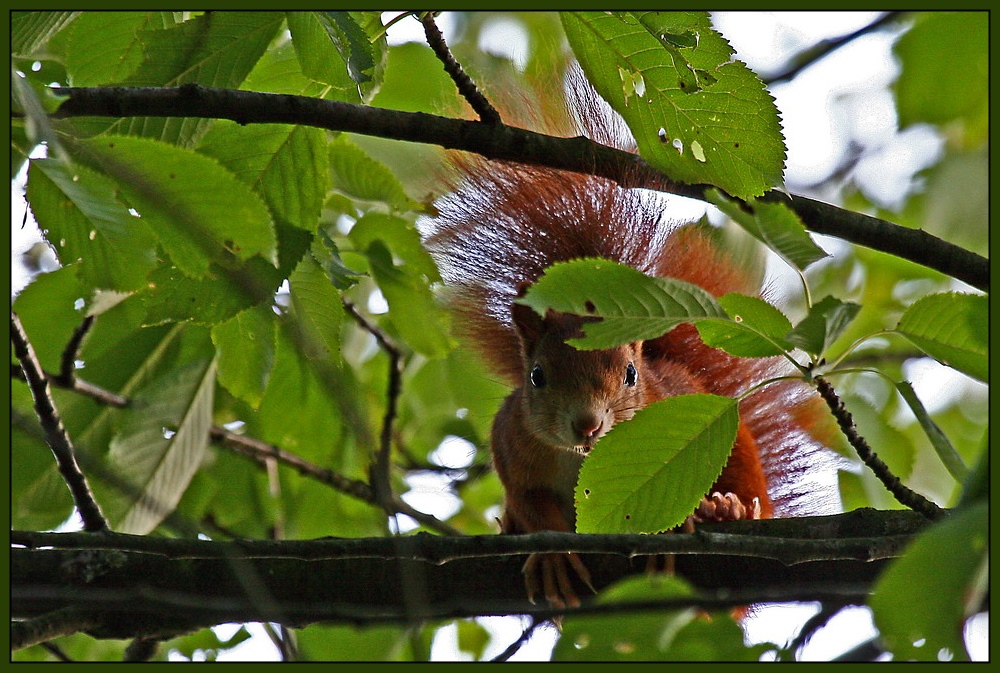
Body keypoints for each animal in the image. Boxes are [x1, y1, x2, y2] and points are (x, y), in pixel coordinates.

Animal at [422, 102, 836, 608]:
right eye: (536, 376)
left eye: (631, 375)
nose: (587, 424)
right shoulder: (512, 445)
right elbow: (532, 506)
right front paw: (552, 556)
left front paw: (681, 526)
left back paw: (729, 511)